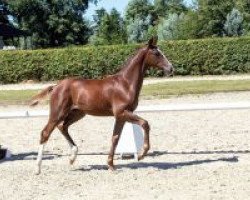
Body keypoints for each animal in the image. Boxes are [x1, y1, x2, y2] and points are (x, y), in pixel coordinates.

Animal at [30, 36, 172, 174]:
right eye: (157, 53)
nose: (171, 68)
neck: (125, 84)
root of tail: (56, 86)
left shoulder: (121, 116)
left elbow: (115, 138)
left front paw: (111, 165)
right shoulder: (122, 112)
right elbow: (145, 124)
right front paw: (142, 154)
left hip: (77, 113)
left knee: (62, 127)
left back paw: (72, 157)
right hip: (58, 113)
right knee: (46, 133)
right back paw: (37, 168)